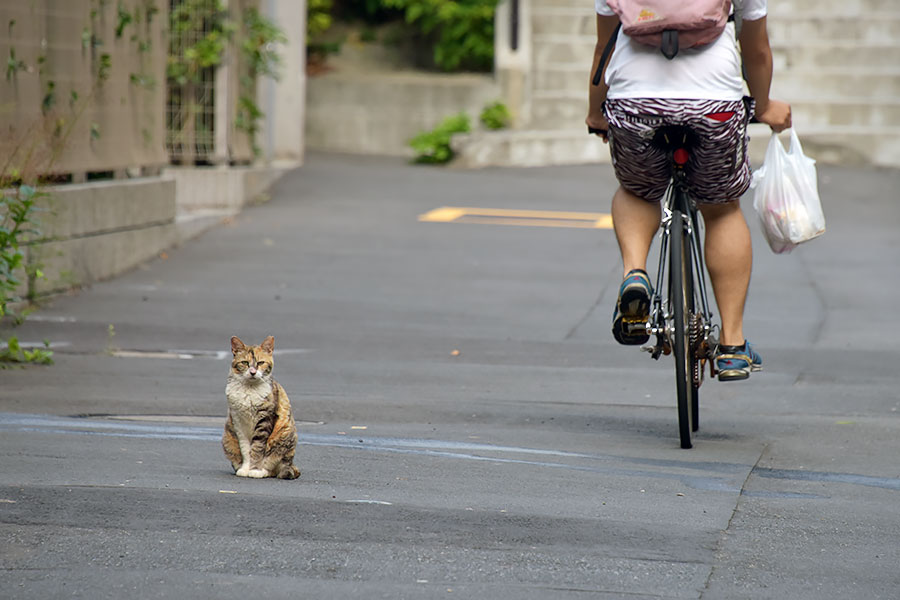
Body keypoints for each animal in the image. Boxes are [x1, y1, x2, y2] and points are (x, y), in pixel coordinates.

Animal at [223, 336, 300, 480]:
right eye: (245, 362)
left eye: (260, 362)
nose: (253, 372)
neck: (249, 389)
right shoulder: (238, 421)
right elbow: (245, 449)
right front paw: (245, 469)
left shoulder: (265, 420)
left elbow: (257, 448)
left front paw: (255, 470)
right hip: (227, 437)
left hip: (284, 435)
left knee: (275, 467)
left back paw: (263, 471)